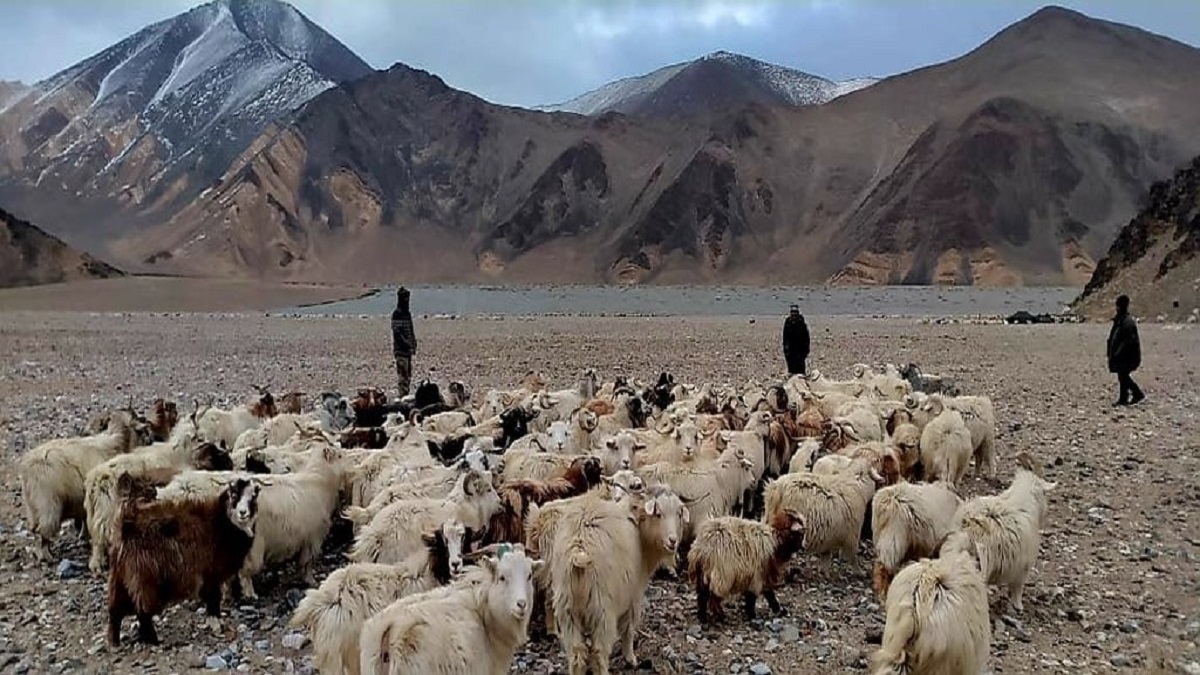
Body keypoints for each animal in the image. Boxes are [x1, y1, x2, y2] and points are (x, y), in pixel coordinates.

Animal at [106, 473, 259, 638]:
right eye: (234, 495)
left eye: (254, 496)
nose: (243, 513)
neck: (221, 522)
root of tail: (126, 526)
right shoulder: (210, 572)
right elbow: (213, 598)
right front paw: (216, 624)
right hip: (144, 577)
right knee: (142, 610)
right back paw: (152, 639)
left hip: (121, 577)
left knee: (115, 611)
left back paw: (115, 640)